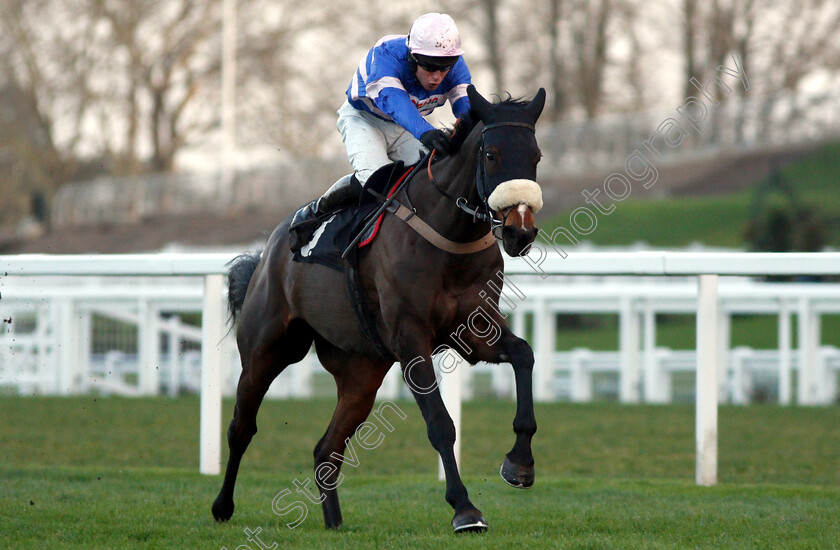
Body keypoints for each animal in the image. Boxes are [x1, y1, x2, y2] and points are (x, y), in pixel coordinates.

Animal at [213, 86, 548, 536]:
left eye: (536, 156)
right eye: (492, 154)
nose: (520, 231)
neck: (448, 234)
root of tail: (269, 251)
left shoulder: (474, 329)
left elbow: (524, 355)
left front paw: (519, 464)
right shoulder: (411, 341)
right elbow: (440, 424)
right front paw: (464, 509)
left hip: (361, 373)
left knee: (326, 449)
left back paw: (334, 522)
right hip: (267, 350)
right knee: (241, 428)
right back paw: (222, 505)